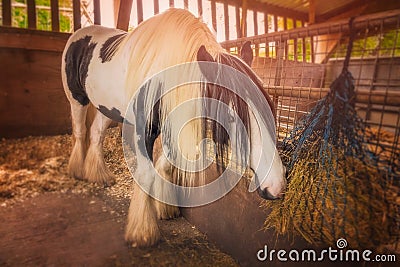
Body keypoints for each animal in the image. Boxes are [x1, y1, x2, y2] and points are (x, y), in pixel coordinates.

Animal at [61, 7, 288, 247]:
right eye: (231, 116)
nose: (276, 185)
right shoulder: (144, 130)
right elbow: (146, 174)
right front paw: (142, 231)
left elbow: (167, 164)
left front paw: (165, 208)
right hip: (77, 100)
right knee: (80, 133)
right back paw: (77, 171)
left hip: (107, 109)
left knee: (96, 135)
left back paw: (98, 175)